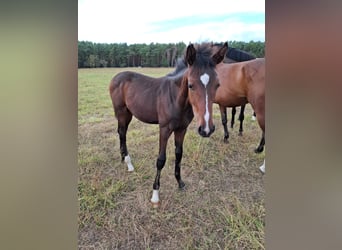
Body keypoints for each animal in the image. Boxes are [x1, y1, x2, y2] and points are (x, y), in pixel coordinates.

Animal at [109, 42, 227, 207]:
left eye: (217, 85)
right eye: (190, 85)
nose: (207, 129)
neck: (176, 99)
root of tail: (116, 76)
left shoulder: (181, 129)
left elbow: (179, 154)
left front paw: (180, 183)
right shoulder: (164, 129)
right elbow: (161, 160)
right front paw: (155, 195)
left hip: (128, 113)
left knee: (121, 133)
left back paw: (123, 159)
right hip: (122, 112)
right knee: (122, 133)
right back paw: (128, 163)